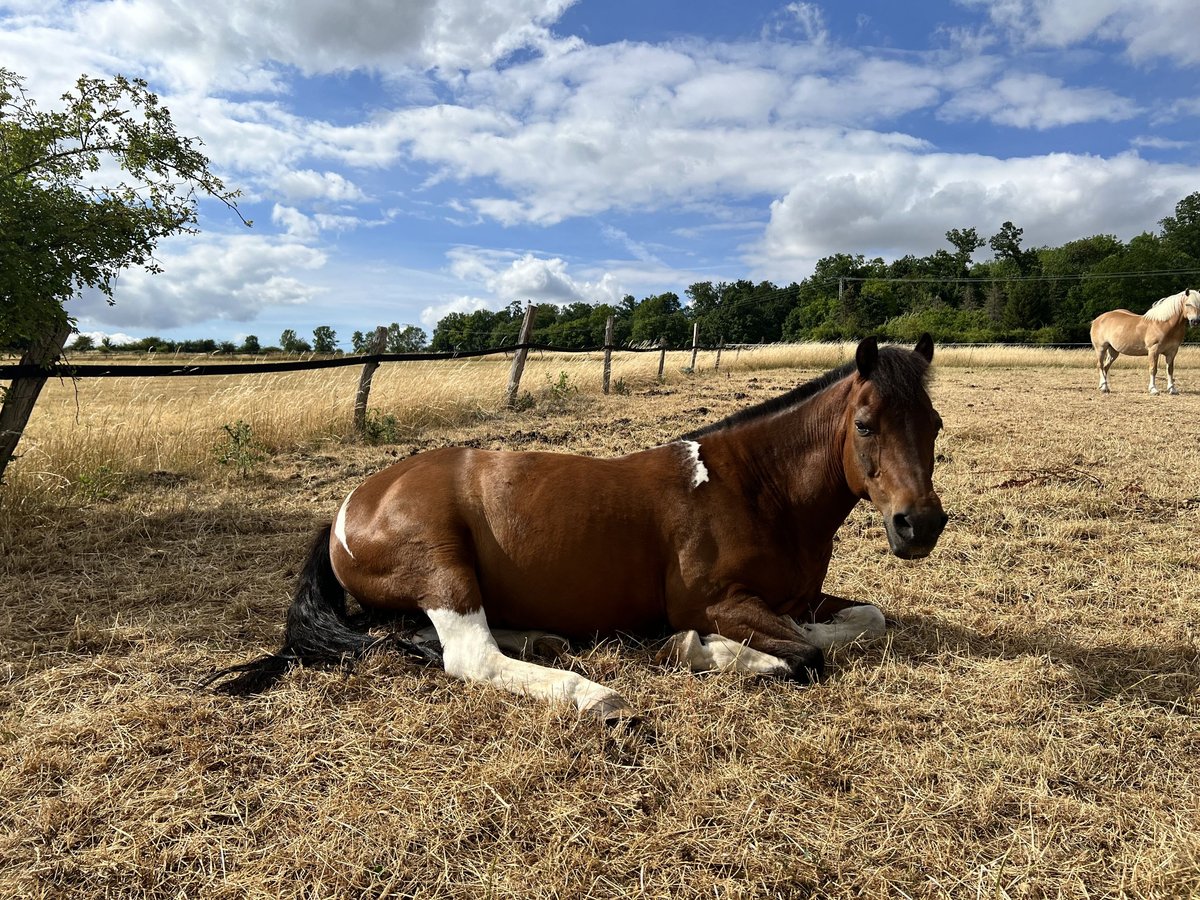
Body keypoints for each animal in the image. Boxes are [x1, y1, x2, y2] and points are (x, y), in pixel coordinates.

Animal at [211, 336, 950, 724]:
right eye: (866, 425)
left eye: (935, 424)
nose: (919, 525)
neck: (754, 488)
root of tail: (350, 505)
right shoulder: (716, 601)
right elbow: (805, 654)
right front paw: (705, 649)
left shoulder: (800, 596)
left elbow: (864, 620)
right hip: (441, 565)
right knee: (465, 655)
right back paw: (592, 693)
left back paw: (545, 640)